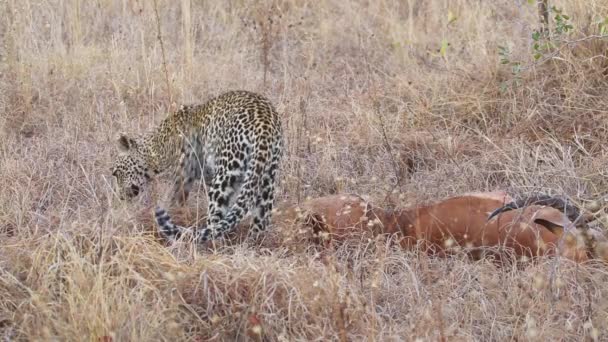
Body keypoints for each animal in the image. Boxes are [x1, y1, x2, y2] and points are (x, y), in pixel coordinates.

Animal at [110, 89, 284, 242]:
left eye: (116, 172)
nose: (120, 196)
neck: (158, 148)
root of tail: (264, 125)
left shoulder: (181, 177)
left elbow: (173, 201)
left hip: (225, 176)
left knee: (214, 222)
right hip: (266, 179)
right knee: (261, 219)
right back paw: (252, 244)